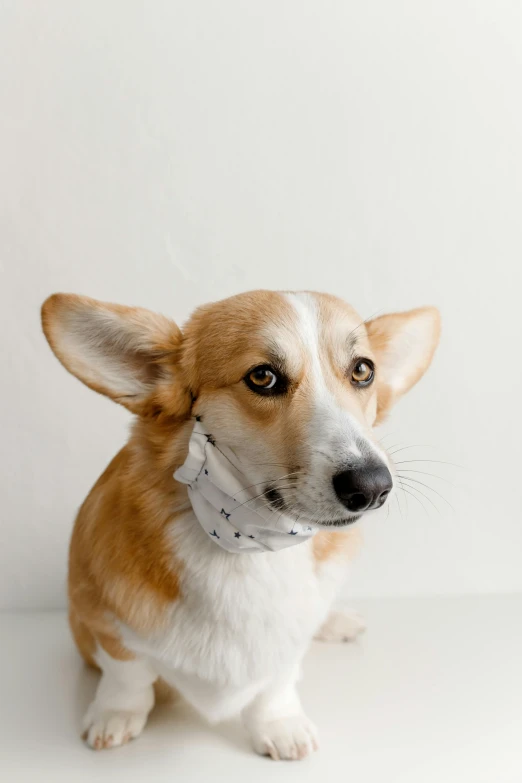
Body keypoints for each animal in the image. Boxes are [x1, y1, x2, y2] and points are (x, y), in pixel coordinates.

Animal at [41, 288, 438, 760]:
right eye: (263, 377)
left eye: (363, 370)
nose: (373, 486)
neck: (248, 549)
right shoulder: (101, 618)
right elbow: (127, 674)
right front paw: (115, 714)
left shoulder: (288, 642)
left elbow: (276, 682)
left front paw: (280, 725)